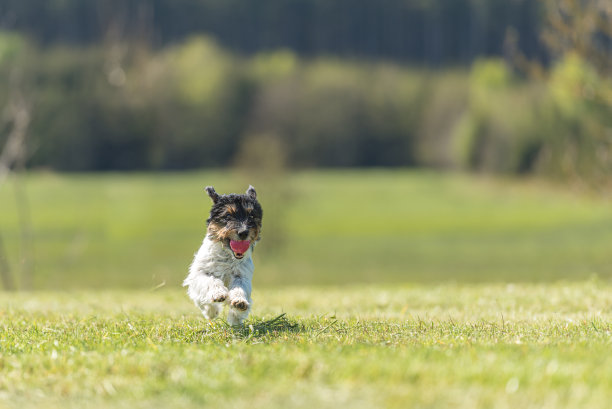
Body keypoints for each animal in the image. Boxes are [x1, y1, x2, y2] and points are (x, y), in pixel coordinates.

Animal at [184, 186, 266, 326]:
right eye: (227, 215)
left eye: (251, 215)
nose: (243, 232)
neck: (227, 256)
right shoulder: (200, 273)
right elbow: (211, 280)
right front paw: (218, 294)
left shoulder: (241, 275)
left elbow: (240, 287)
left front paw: (239, 301)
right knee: (205, 304)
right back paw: (212, 311)